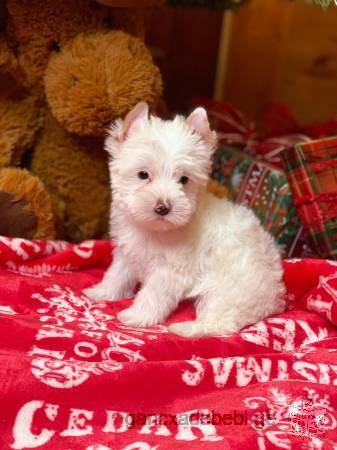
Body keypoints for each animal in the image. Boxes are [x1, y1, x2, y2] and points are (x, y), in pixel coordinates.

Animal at [83, 102, 284, 338]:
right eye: (143, 175)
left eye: (184, 179)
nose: (163, 207)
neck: (152, 229)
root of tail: (274, 299)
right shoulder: (127, 252)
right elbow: (117, 274)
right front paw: (102, 291)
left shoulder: (169, 271)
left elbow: (152, 294)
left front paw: (137, 316)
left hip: (224, 291)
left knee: (220, 322)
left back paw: (185, 328)